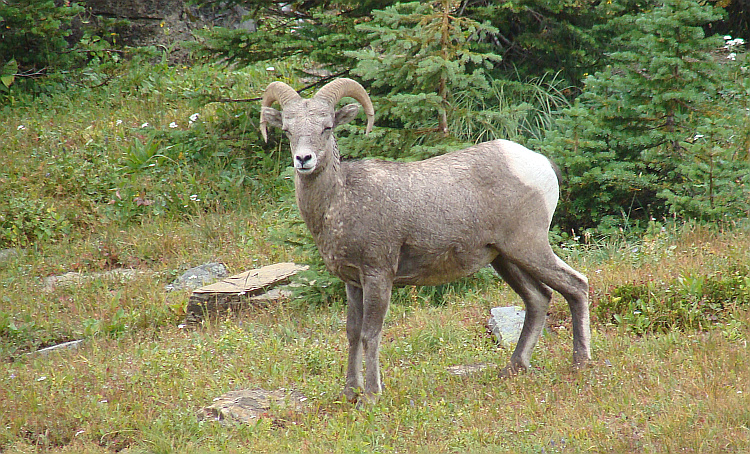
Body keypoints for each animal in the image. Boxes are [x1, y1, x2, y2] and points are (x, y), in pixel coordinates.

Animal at [262, 77, 592, 400]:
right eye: (287, 130)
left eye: (327, 126)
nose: (303, 159)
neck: (339, 201)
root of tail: (541, 163)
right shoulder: (352, 282)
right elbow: (353, 334)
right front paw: (349, 393)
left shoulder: (378, 275)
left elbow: (370, 334)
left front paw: (371, 396)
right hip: (505, 259)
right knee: (539, 298)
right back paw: (514, 368)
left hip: (528, 247)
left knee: (576, 285)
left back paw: (581, 363)